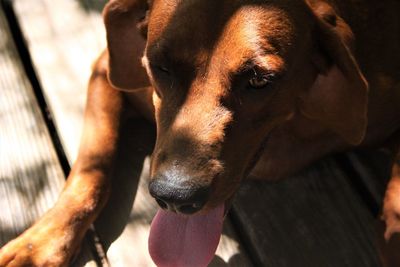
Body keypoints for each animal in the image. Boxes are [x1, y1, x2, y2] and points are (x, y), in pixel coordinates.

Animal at [0, 0, 400, 266]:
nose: (174, 197)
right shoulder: (106, 71)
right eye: (160, 67)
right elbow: (90, 173)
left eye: (260, 80)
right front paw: (39, 246)